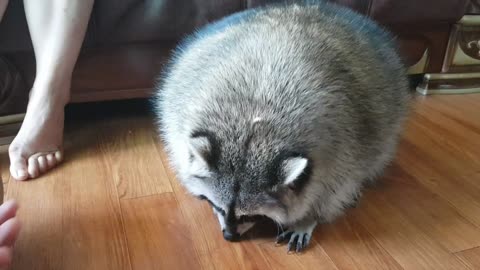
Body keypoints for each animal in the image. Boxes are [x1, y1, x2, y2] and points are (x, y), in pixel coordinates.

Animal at [156, 0, 410, 253]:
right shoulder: (181, 117)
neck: (253, 124)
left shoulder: (344, 146)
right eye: (217, 207)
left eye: (249, 216)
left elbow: (333, 189)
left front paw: (308, 217)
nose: (229, 236)